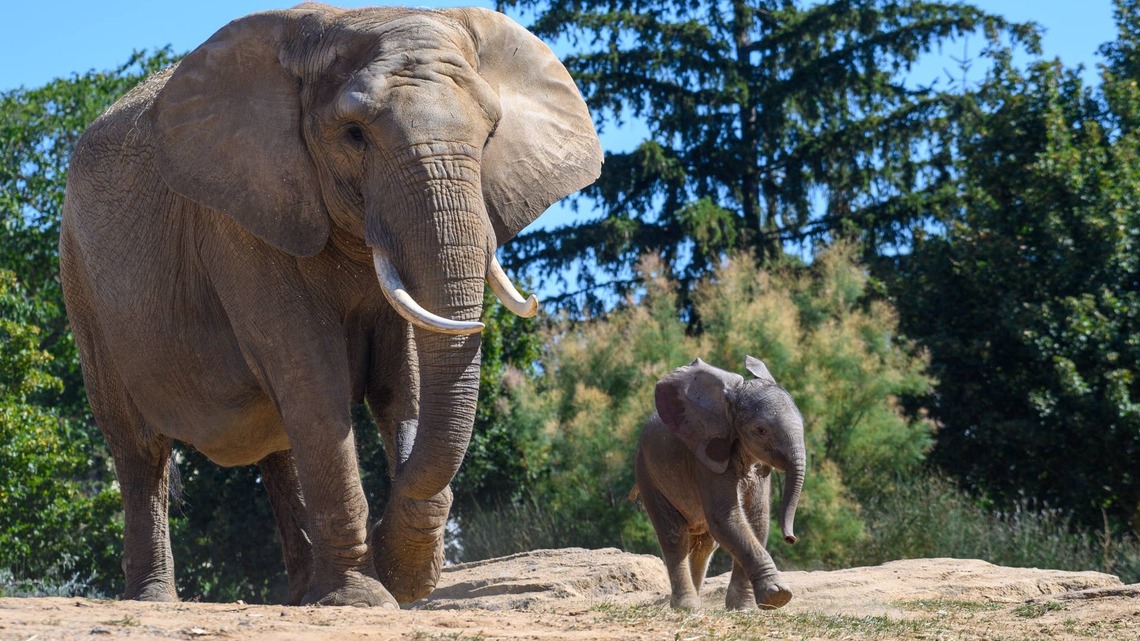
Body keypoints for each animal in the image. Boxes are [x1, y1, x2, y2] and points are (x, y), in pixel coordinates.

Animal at [58, 4, 602, 607]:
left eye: (488, 135)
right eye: (354, 135)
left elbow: (402, 380)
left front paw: (397, 572)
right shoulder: (238, 221)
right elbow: (314, 378)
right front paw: (365, 596)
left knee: (279, 443)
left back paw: (300, 595)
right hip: (82, 283)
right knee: (140, 450)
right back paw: (156, 599)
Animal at [633, 356, 806, 611]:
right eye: (760, 430)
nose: (791, 539)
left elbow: (756, 519)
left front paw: (743, 608)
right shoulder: (704, 460)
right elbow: (726, 518)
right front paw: (778, 596)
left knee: (704, 545)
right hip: (647, 471)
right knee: (674, 536)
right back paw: (687, 606)